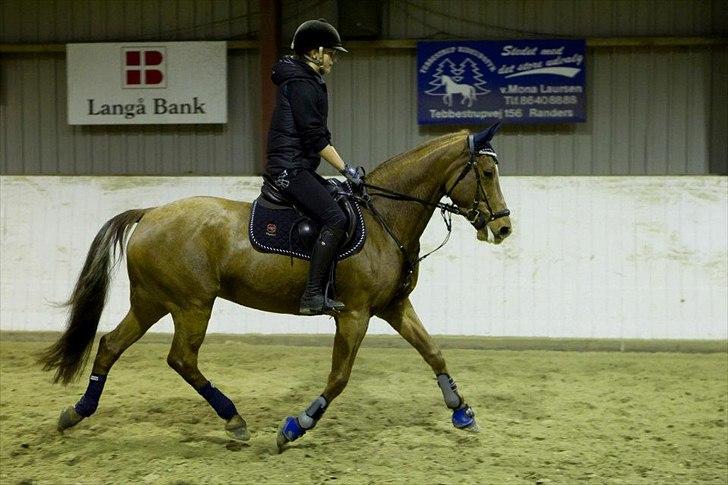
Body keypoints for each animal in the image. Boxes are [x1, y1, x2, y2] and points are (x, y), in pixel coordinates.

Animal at [39, 123, 512, 452]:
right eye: (488, 172)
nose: (504, 227)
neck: (385, 219)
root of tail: (150, 212)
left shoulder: (394, 305)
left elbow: (433, 352)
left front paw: (462, 413)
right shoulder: (354, 314)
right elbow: (339, 377)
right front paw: (294, 427)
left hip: (152, 301)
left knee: (110, 345)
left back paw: (76, 413)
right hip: (191, 303)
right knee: (181, 359)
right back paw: (233, 419)